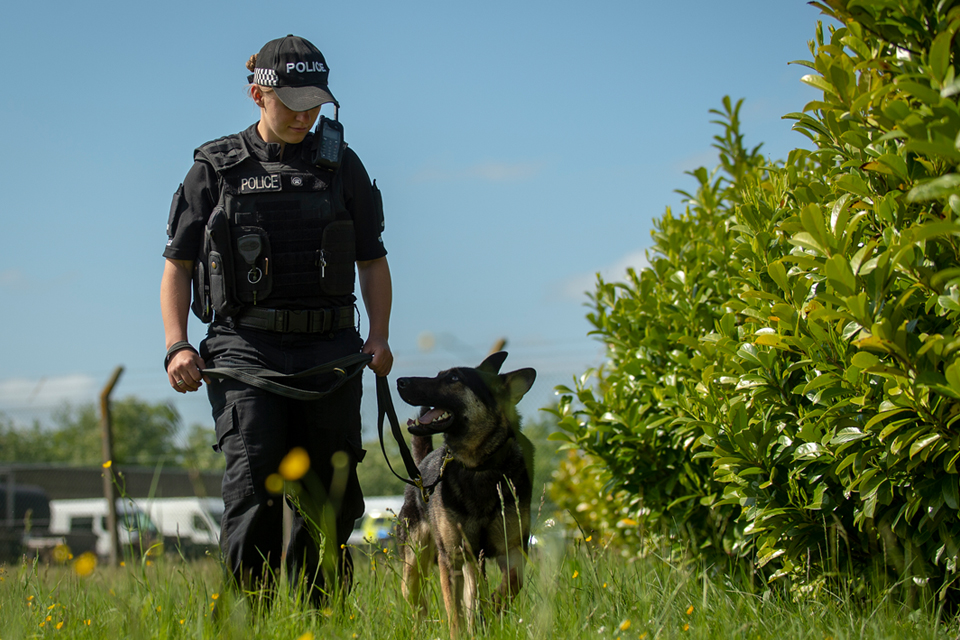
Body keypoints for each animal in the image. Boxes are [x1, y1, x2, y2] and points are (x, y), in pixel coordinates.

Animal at [394, 352, 536, 636]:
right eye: (440, 374)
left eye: (453, 378)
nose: (400, 381)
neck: (478, 465)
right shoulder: (452, 558)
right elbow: (454, 612)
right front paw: (464, 628)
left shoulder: (513, 549)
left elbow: (510, 585)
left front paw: (489, 612)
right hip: (413, 568)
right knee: (419, 605)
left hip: (472, 559)